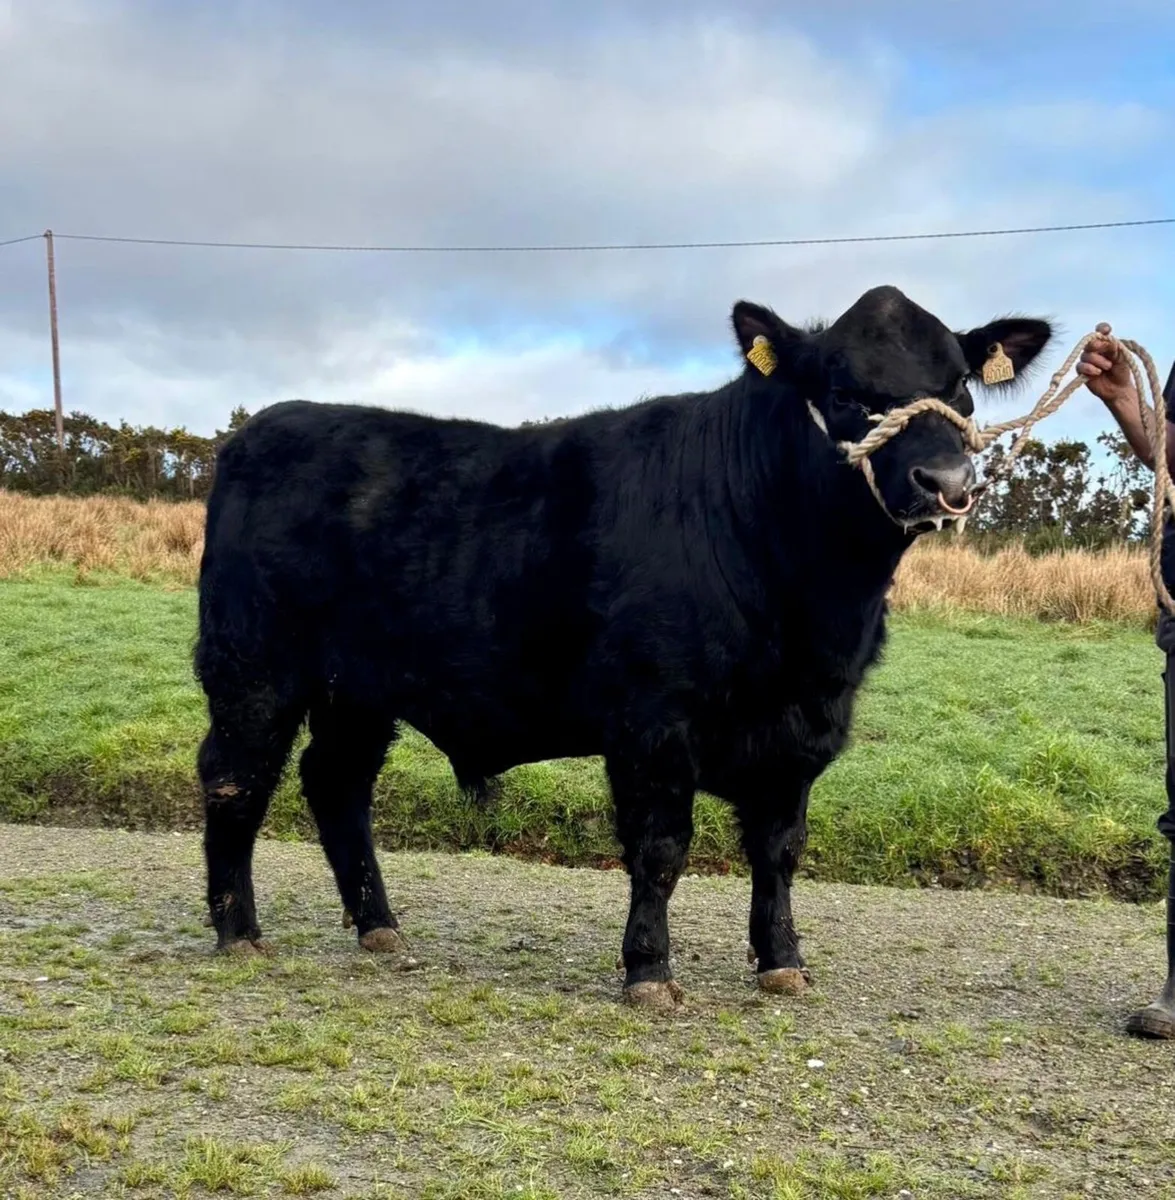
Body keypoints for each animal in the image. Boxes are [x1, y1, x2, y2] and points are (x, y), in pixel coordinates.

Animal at [194, 285, 1053, 1010]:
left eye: (958, 385)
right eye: (844, 392)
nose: (946, 481)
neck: (812, 614)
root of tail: (263, 427)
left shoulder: (802, 734)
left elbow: (778, 851)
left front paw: (782, 962)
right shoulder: (652, 722)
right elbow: (660, 848)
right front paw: (648, 970)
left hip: (359, 690)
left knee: (336, 784)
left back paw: (379, 926)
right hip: (253, 669)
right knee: (236, 778)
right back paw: (239, 932)